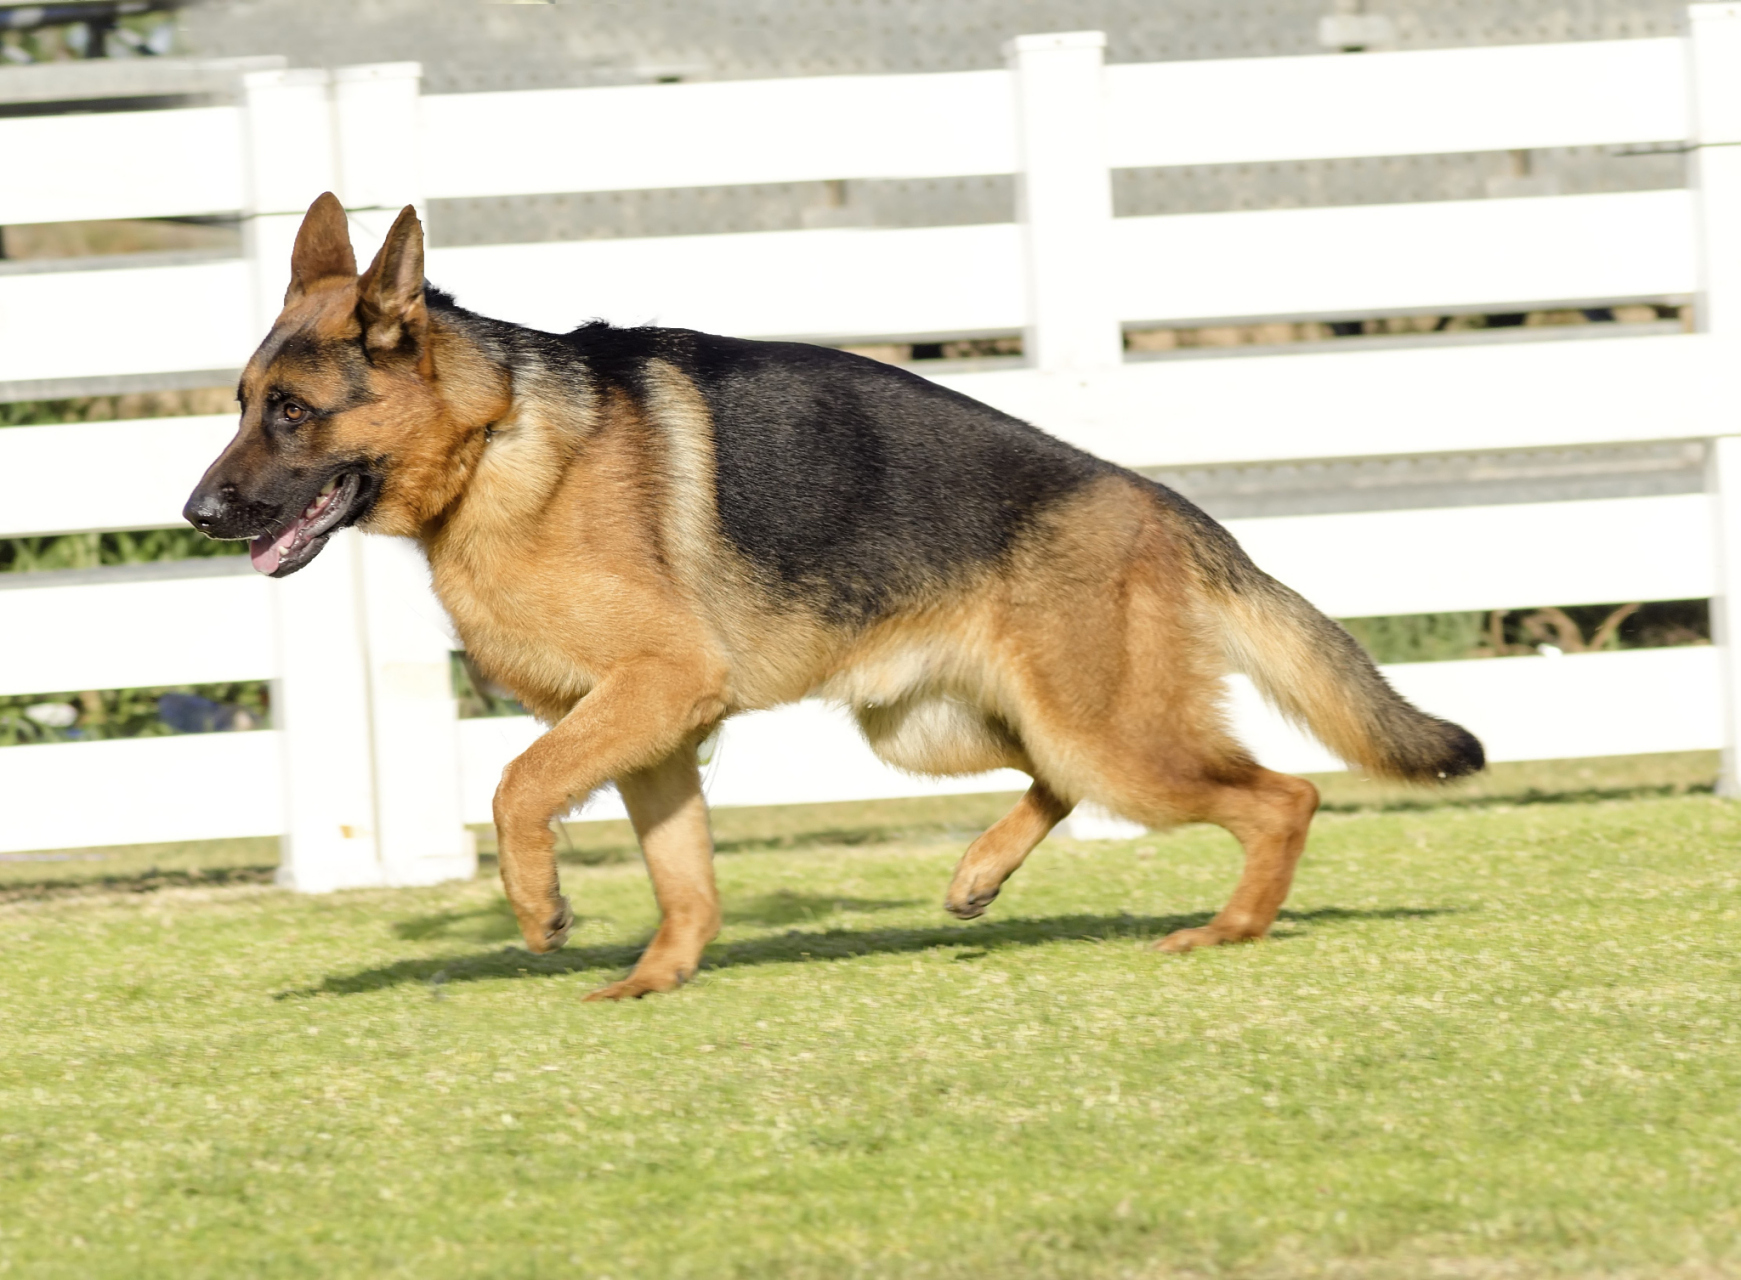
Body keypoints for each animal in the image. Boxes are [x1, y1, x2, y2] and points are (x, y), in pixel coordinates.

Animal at [183, 197, 1476, 1003]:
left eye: (289, 413)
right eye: (241, 402)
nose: (195, 512)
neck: (497, 437)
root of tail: (1154, 499)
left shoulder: (654, 690)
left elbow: (515, 786)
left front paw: (539, 906)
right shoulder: (658, 729)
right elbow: (683, 877)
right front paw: (658, 976)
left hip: (1109, 738)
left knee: (1281, 795)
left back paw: (1230, 925)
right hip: (939, 726)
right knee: (1060, 782)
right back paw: (979, 874)